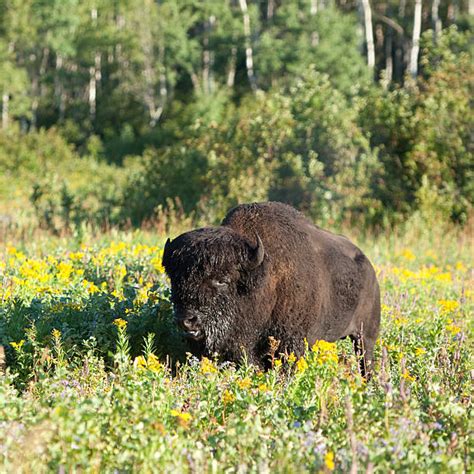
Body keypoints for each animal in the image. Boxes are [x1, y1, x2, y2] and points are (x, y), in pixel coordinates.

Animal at [163, 202, 382, 376]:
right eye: (175, 279)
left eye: (222, 280)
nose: (186, 320)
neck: (265, 275)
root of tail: (370, 270)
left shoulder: (291, 343)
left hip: (365, 337)